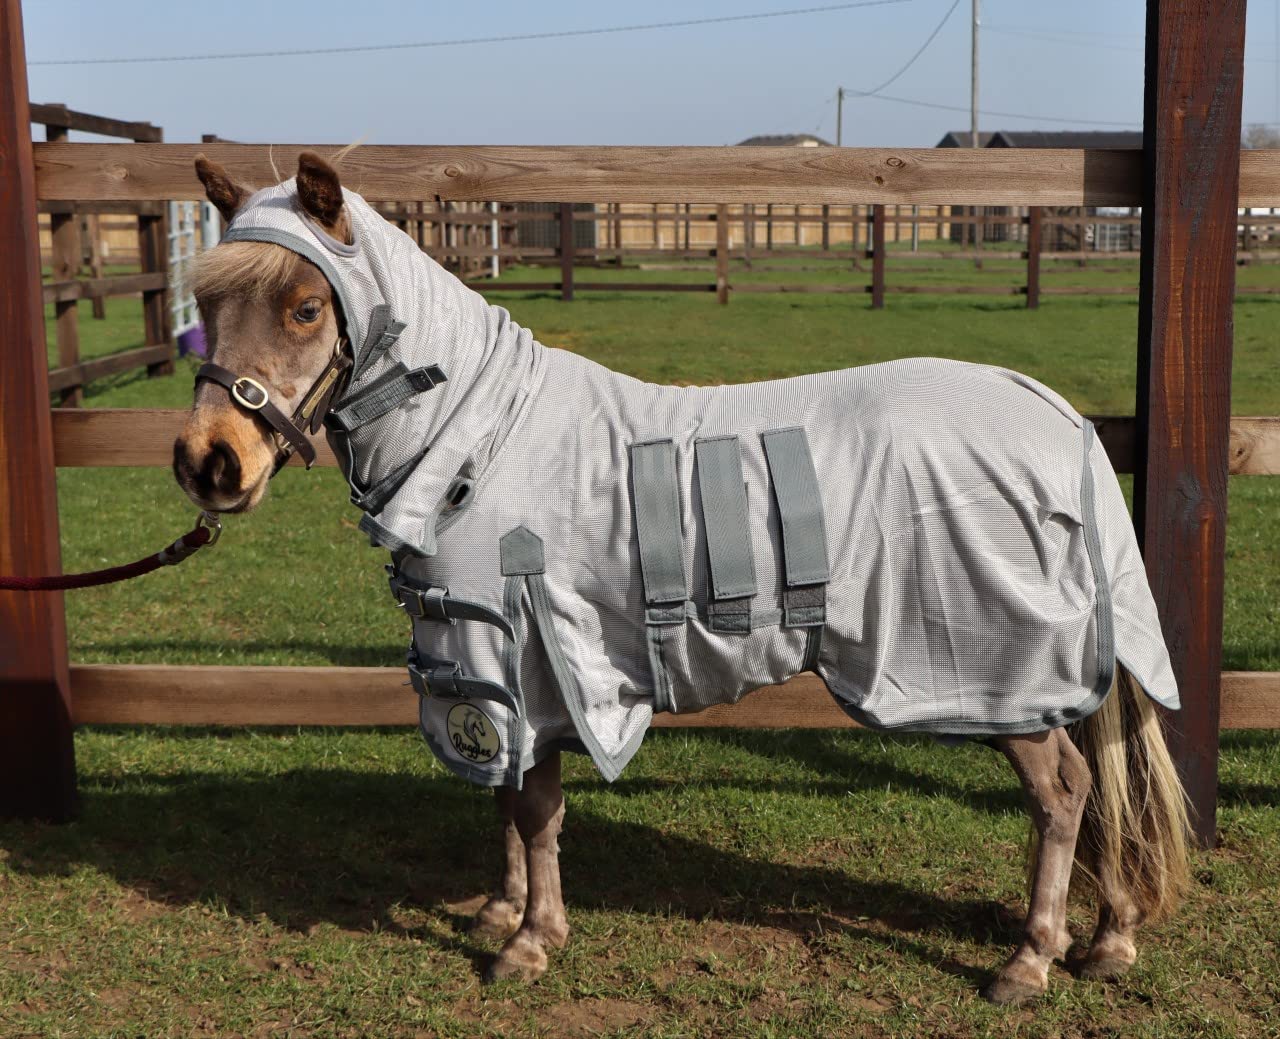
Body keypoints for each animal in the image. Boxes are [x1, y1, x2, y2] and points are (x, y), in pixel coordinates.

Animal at [174, 151, 1190, 1005]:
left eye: (306, 307)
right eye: (208, 309)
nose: (208, 463)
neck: (481, 441)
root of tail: (1054, 415)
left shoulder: (526, 658)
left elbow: (534, 806)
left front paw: (532, 939)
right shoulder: (486, 667)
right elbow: (506, 792)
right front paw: (502, 910)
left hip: (1000, 674)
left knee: (1065, 790)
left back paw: (1031, 958)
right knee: (1105, 787)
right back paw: (1109, 937)